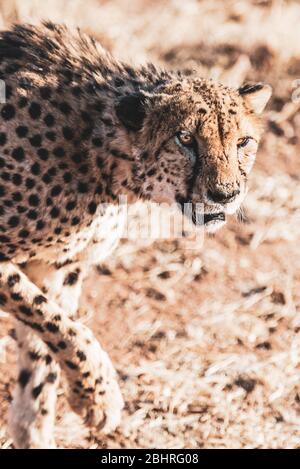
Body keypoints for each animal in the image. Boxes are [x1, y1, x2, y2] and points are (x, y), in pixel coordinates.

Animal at [0, 22, 272, 446]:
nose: (225, 194)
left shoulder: (58, 264)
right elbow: (59, 323)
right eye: (185, 139)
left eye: (243, 142)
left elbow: (45, 345)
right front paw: (99, 395)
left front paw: (36, 428)